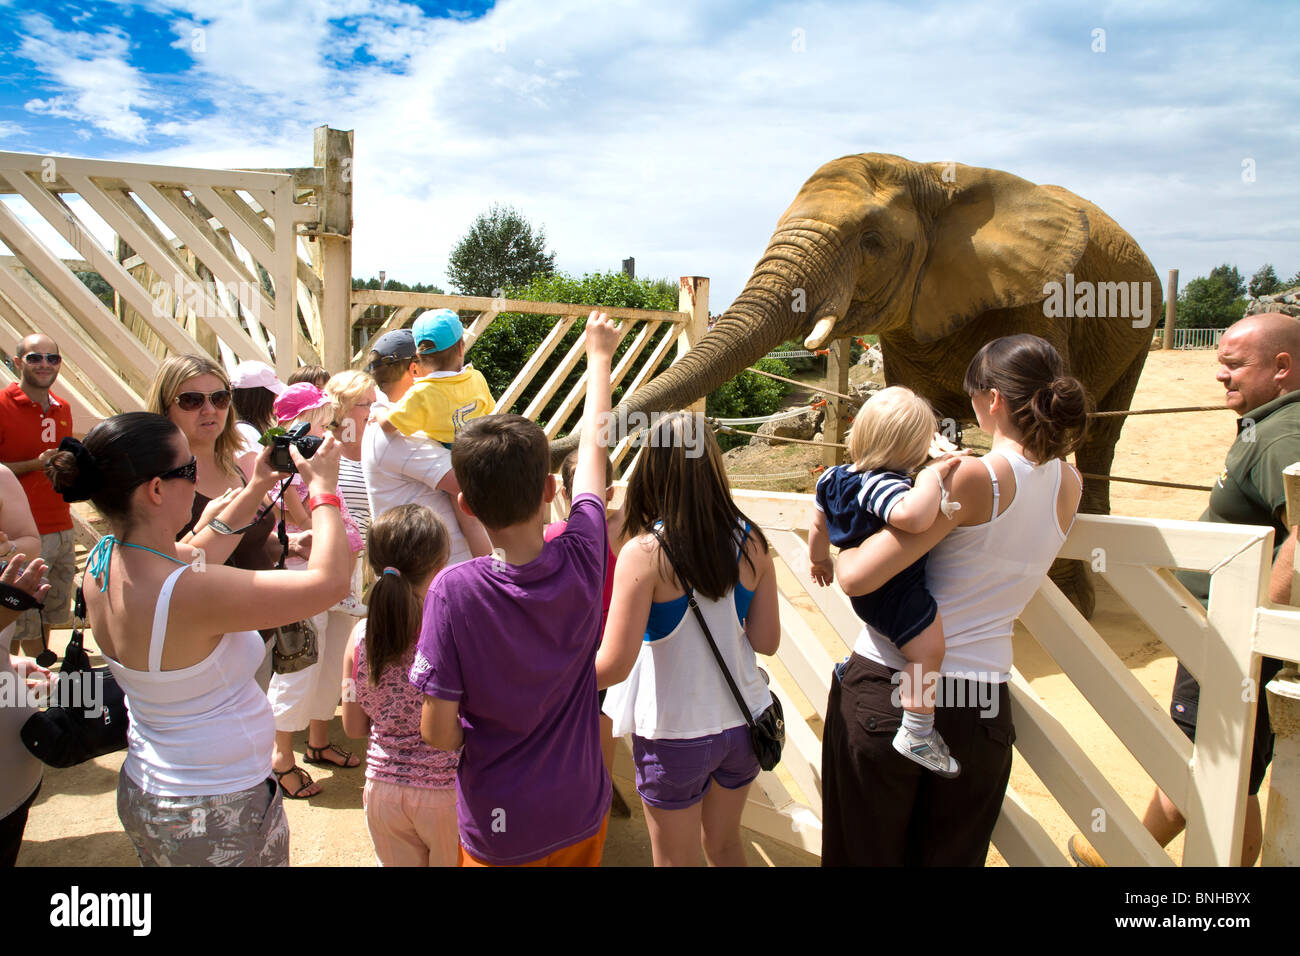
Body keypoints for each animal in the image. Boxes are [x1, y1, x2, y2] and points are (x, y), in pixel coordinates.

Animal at [553, 153, 1160, 616]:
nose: (560, 455)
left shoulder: (1039, 300)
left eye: (872, 241)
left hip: (1140, 323)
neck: (936, 179)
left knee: (1100, 439)